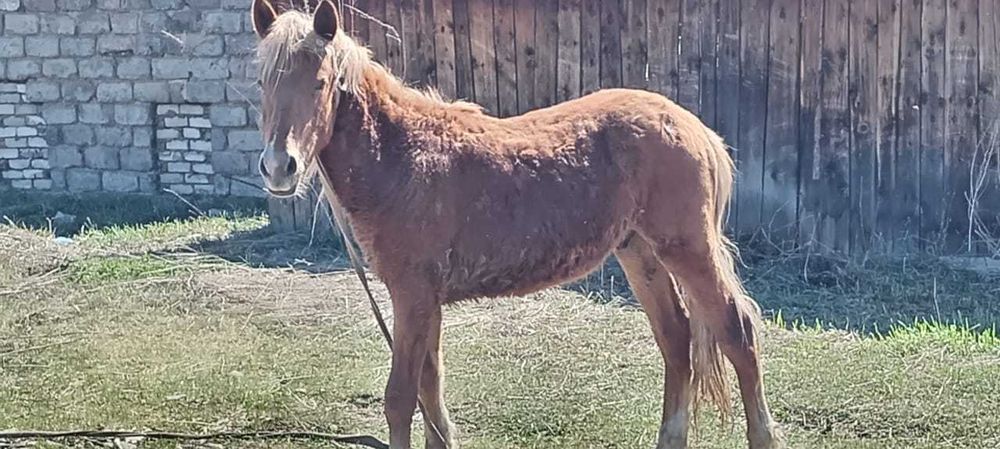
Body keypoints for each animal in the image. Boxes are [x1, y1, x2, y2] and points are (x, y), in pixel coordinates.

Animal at [249, 1, 780, 448]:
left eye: (320, 82)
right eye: (263, 84)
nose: (280, 168)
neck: (403, 155)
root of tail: (694, 128)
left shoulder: (412, 296)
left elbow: (401, 399)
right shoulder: (425, 301)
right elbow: (430, 391)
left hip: (687, 249)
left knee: (737, 332)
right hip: (640, 253)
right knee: (677, 339)